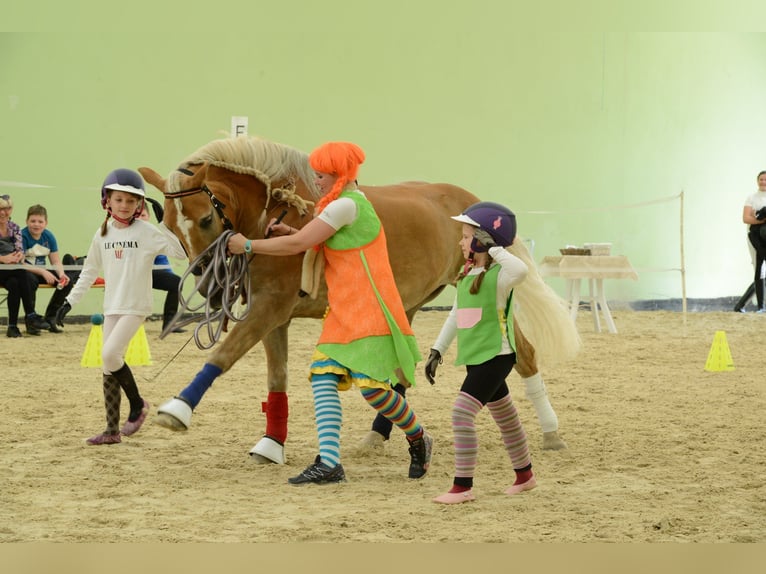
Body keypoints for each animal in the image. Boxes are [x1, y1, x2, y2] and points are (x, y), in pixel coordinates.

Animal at [140, 134, 584, 464]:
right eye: (170, 228)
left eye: (206, 219)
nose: (209, 289)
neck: (278, 214)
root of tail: (470, 200)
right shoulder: (274, 315)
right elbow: (276, 379)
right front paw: (271, 444)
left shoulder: (271, 307)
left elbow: (222, 355)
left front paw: (177, 410)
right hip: (409, 302)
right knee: (405, 369)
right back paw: (379, 435)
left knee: (523, 355)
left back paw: (551, 433)